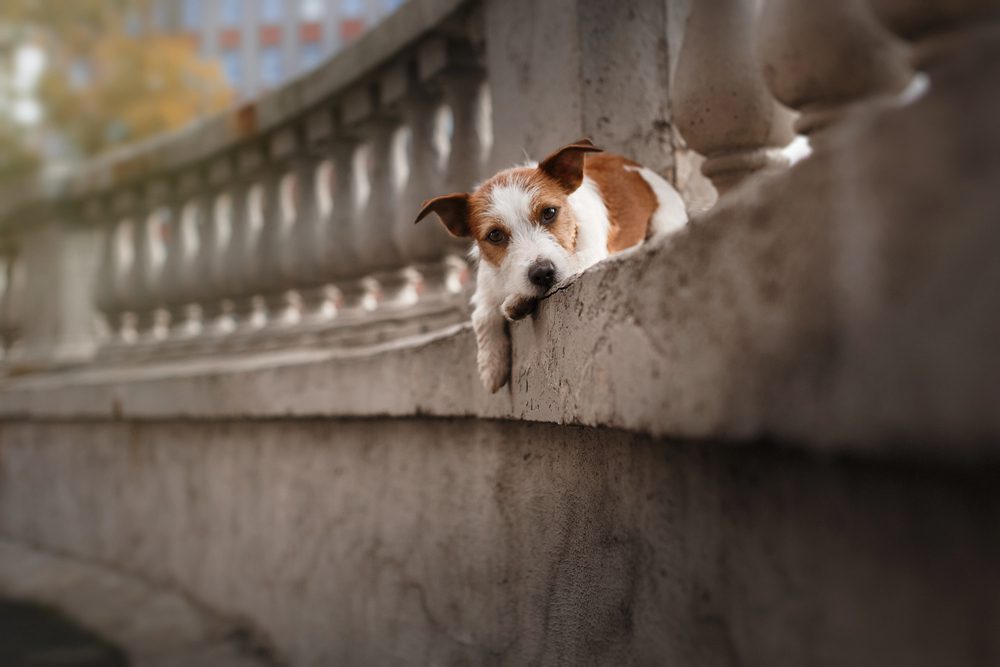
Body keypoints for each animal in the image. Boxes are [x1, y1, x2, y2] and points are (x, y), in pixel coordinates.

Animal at [414, 139, 688, 394]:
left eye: (549, 212)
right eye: (495, 235)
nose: (542, 273)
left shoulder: (589, 255)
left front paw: (517, 300)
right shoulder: (487, 285)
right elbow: (482, 315)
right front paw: (491, 366)